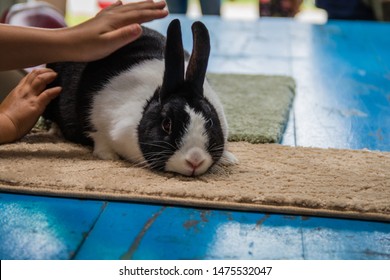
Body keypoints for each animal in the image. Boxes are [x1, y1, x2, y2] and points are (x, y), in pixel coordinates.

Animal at [44, 19, 236, 176]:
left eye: (210, 122)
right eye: (166, 124)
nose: (195, 160)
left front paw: (229, 158)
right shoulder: (96, 120)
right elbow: (98, 137)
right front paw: (108, 156)